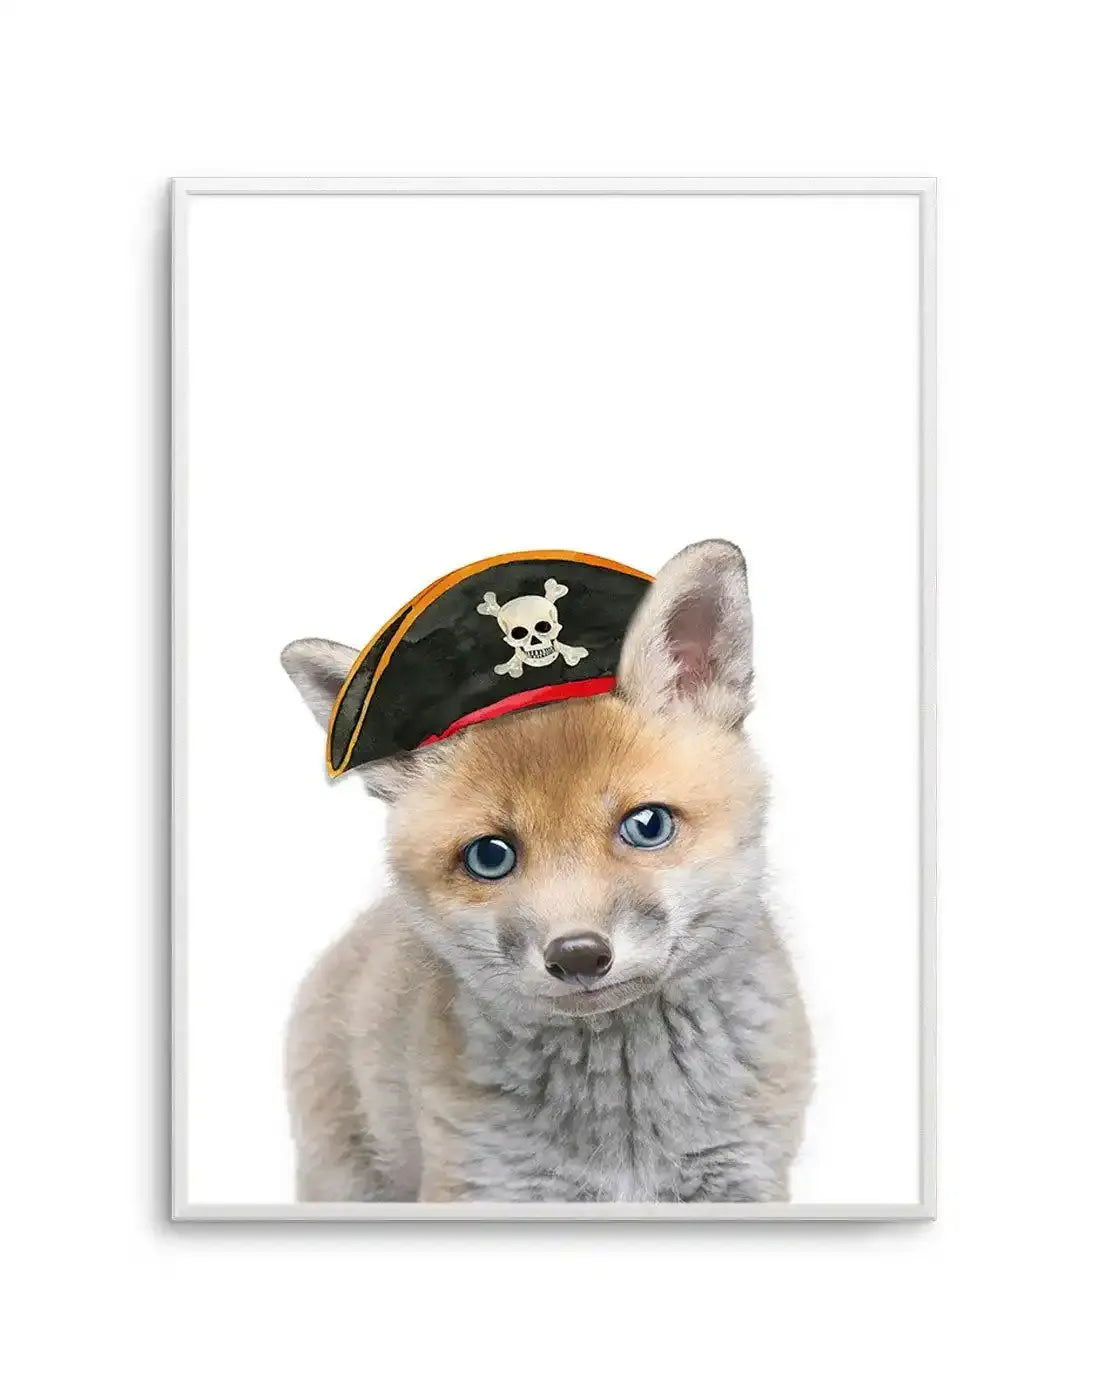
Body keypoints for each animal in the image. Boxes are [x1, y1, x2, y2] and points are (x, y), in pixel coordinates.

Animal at [280, 539, 812, 1202]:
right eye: (490, 856)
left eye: (648, 825)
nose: (578, 955)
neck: (627, 1135)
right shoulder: (485, 1183)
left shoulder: (743, 1176)